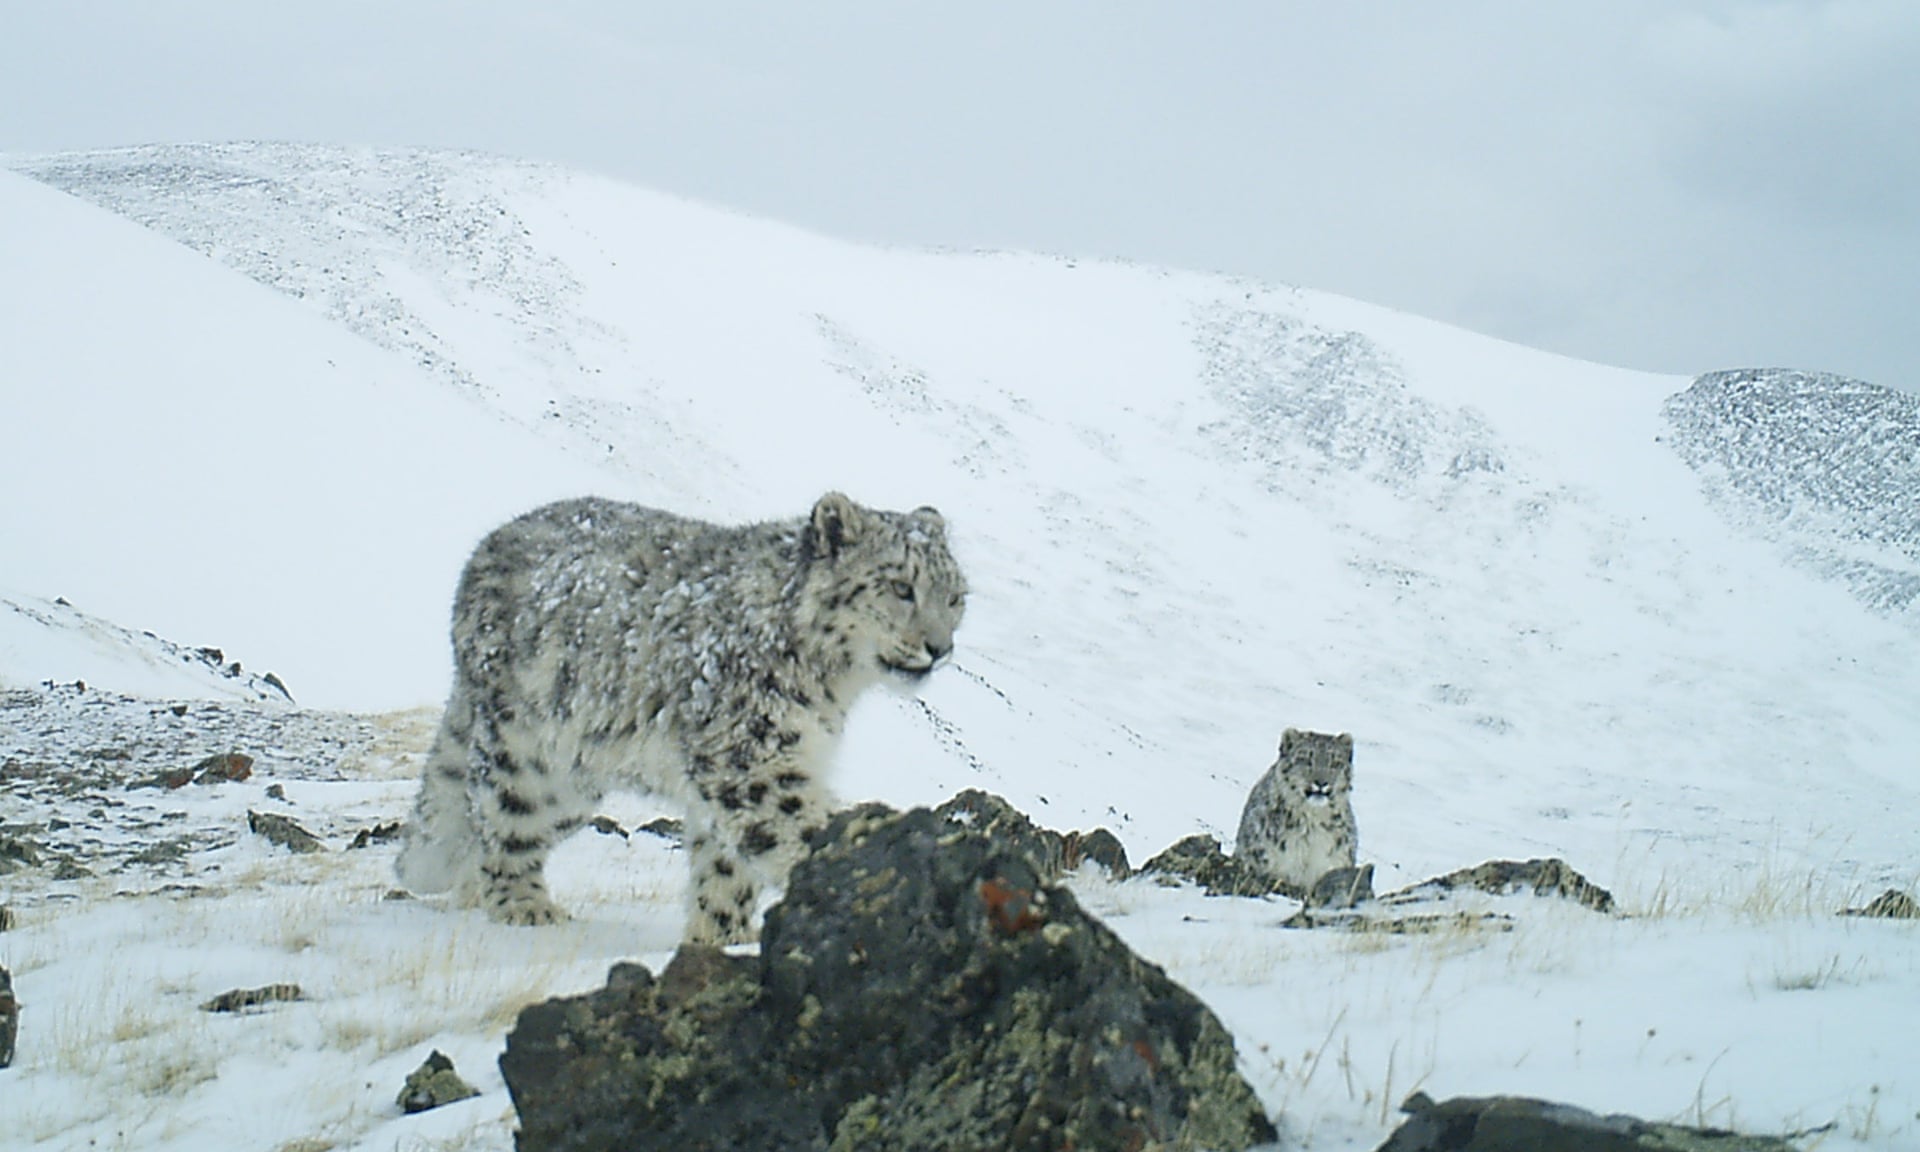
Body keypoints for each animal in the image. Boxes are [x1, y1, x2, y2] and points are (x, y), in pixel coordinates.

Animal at [391, 489, 967, 940]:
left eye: (956, 597)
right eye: (901, 586)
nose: (940, 648)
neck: (833, 687)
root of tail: (486, 549)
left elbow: (726, 867)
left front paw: (723, 937)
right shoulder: (748, 752)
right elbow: (794, 824)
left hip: (575, 783)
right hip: (528, 753)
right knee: (505, 823)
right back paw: (524, 908)